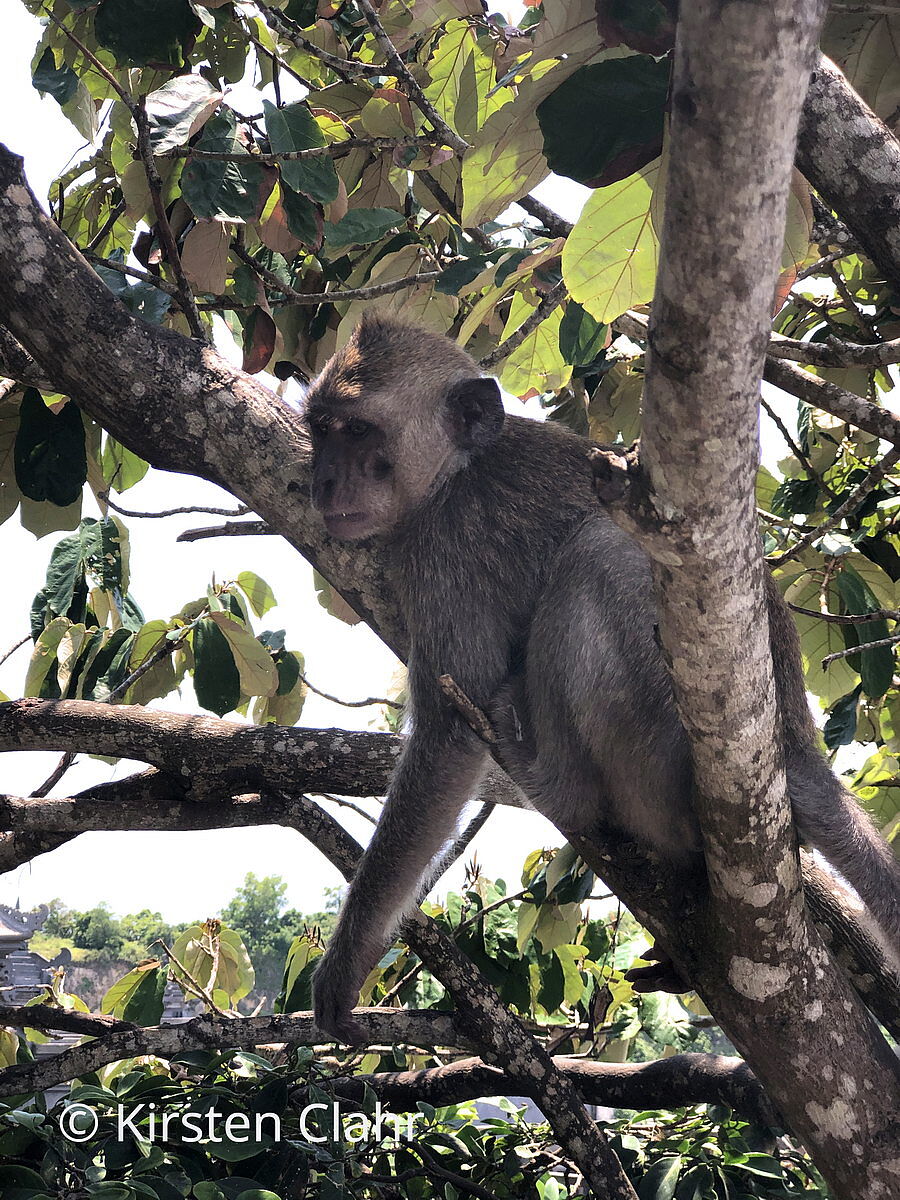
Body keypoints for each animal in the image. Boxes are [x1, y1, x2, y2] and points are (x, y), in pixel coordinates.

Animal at [305, 312, 900, 1043]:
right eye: (320, 431)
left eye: (360, 431)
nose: (323, 483)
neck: (456, 471)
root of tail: (791, 744)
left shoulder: (449, 549)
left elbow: (445, 737)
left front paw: (348, 954)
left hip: (659, 752)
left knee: (599, 554)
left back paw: (551, 776)